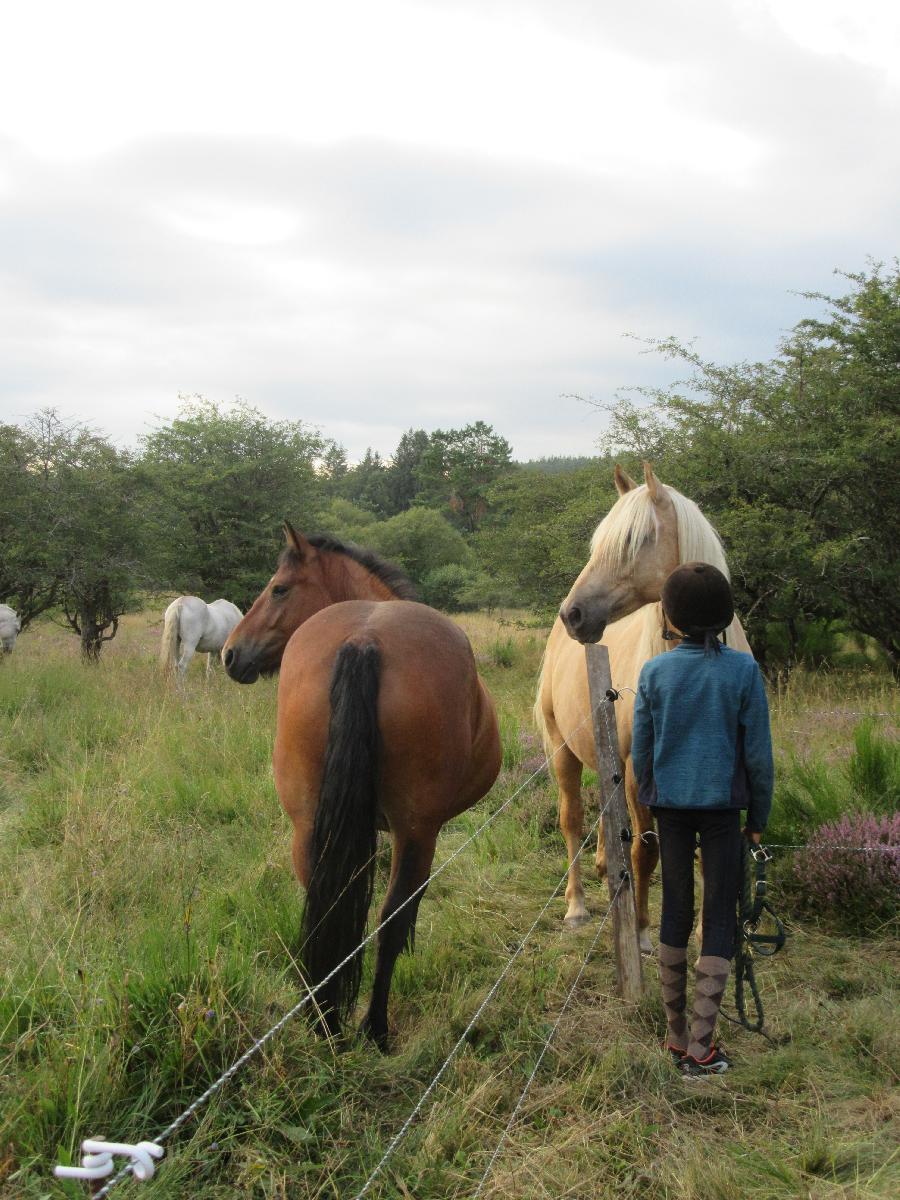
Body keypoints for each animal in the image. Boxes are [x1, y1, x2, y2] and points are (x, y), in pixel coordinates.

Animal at [218, 520, 501, 1046]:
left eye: (279, 588)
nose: (230, 653)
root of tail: (366, 637)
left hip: (309, 828)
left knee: (323, 913)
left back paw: (325, 1022)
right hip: (417, 832)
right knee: (391, 920)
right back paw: (375, 1029)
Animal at [535, 463, 753, 950]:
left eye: (636, 539)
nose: (573, 614)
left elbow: (711, 854)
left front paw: (705, 934)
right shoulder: (640, 770)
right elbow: (647, 849)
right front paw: (640, 931)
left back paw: (603, 867)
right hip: (561, 748)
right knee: (572, 818)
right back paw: (577, 905)